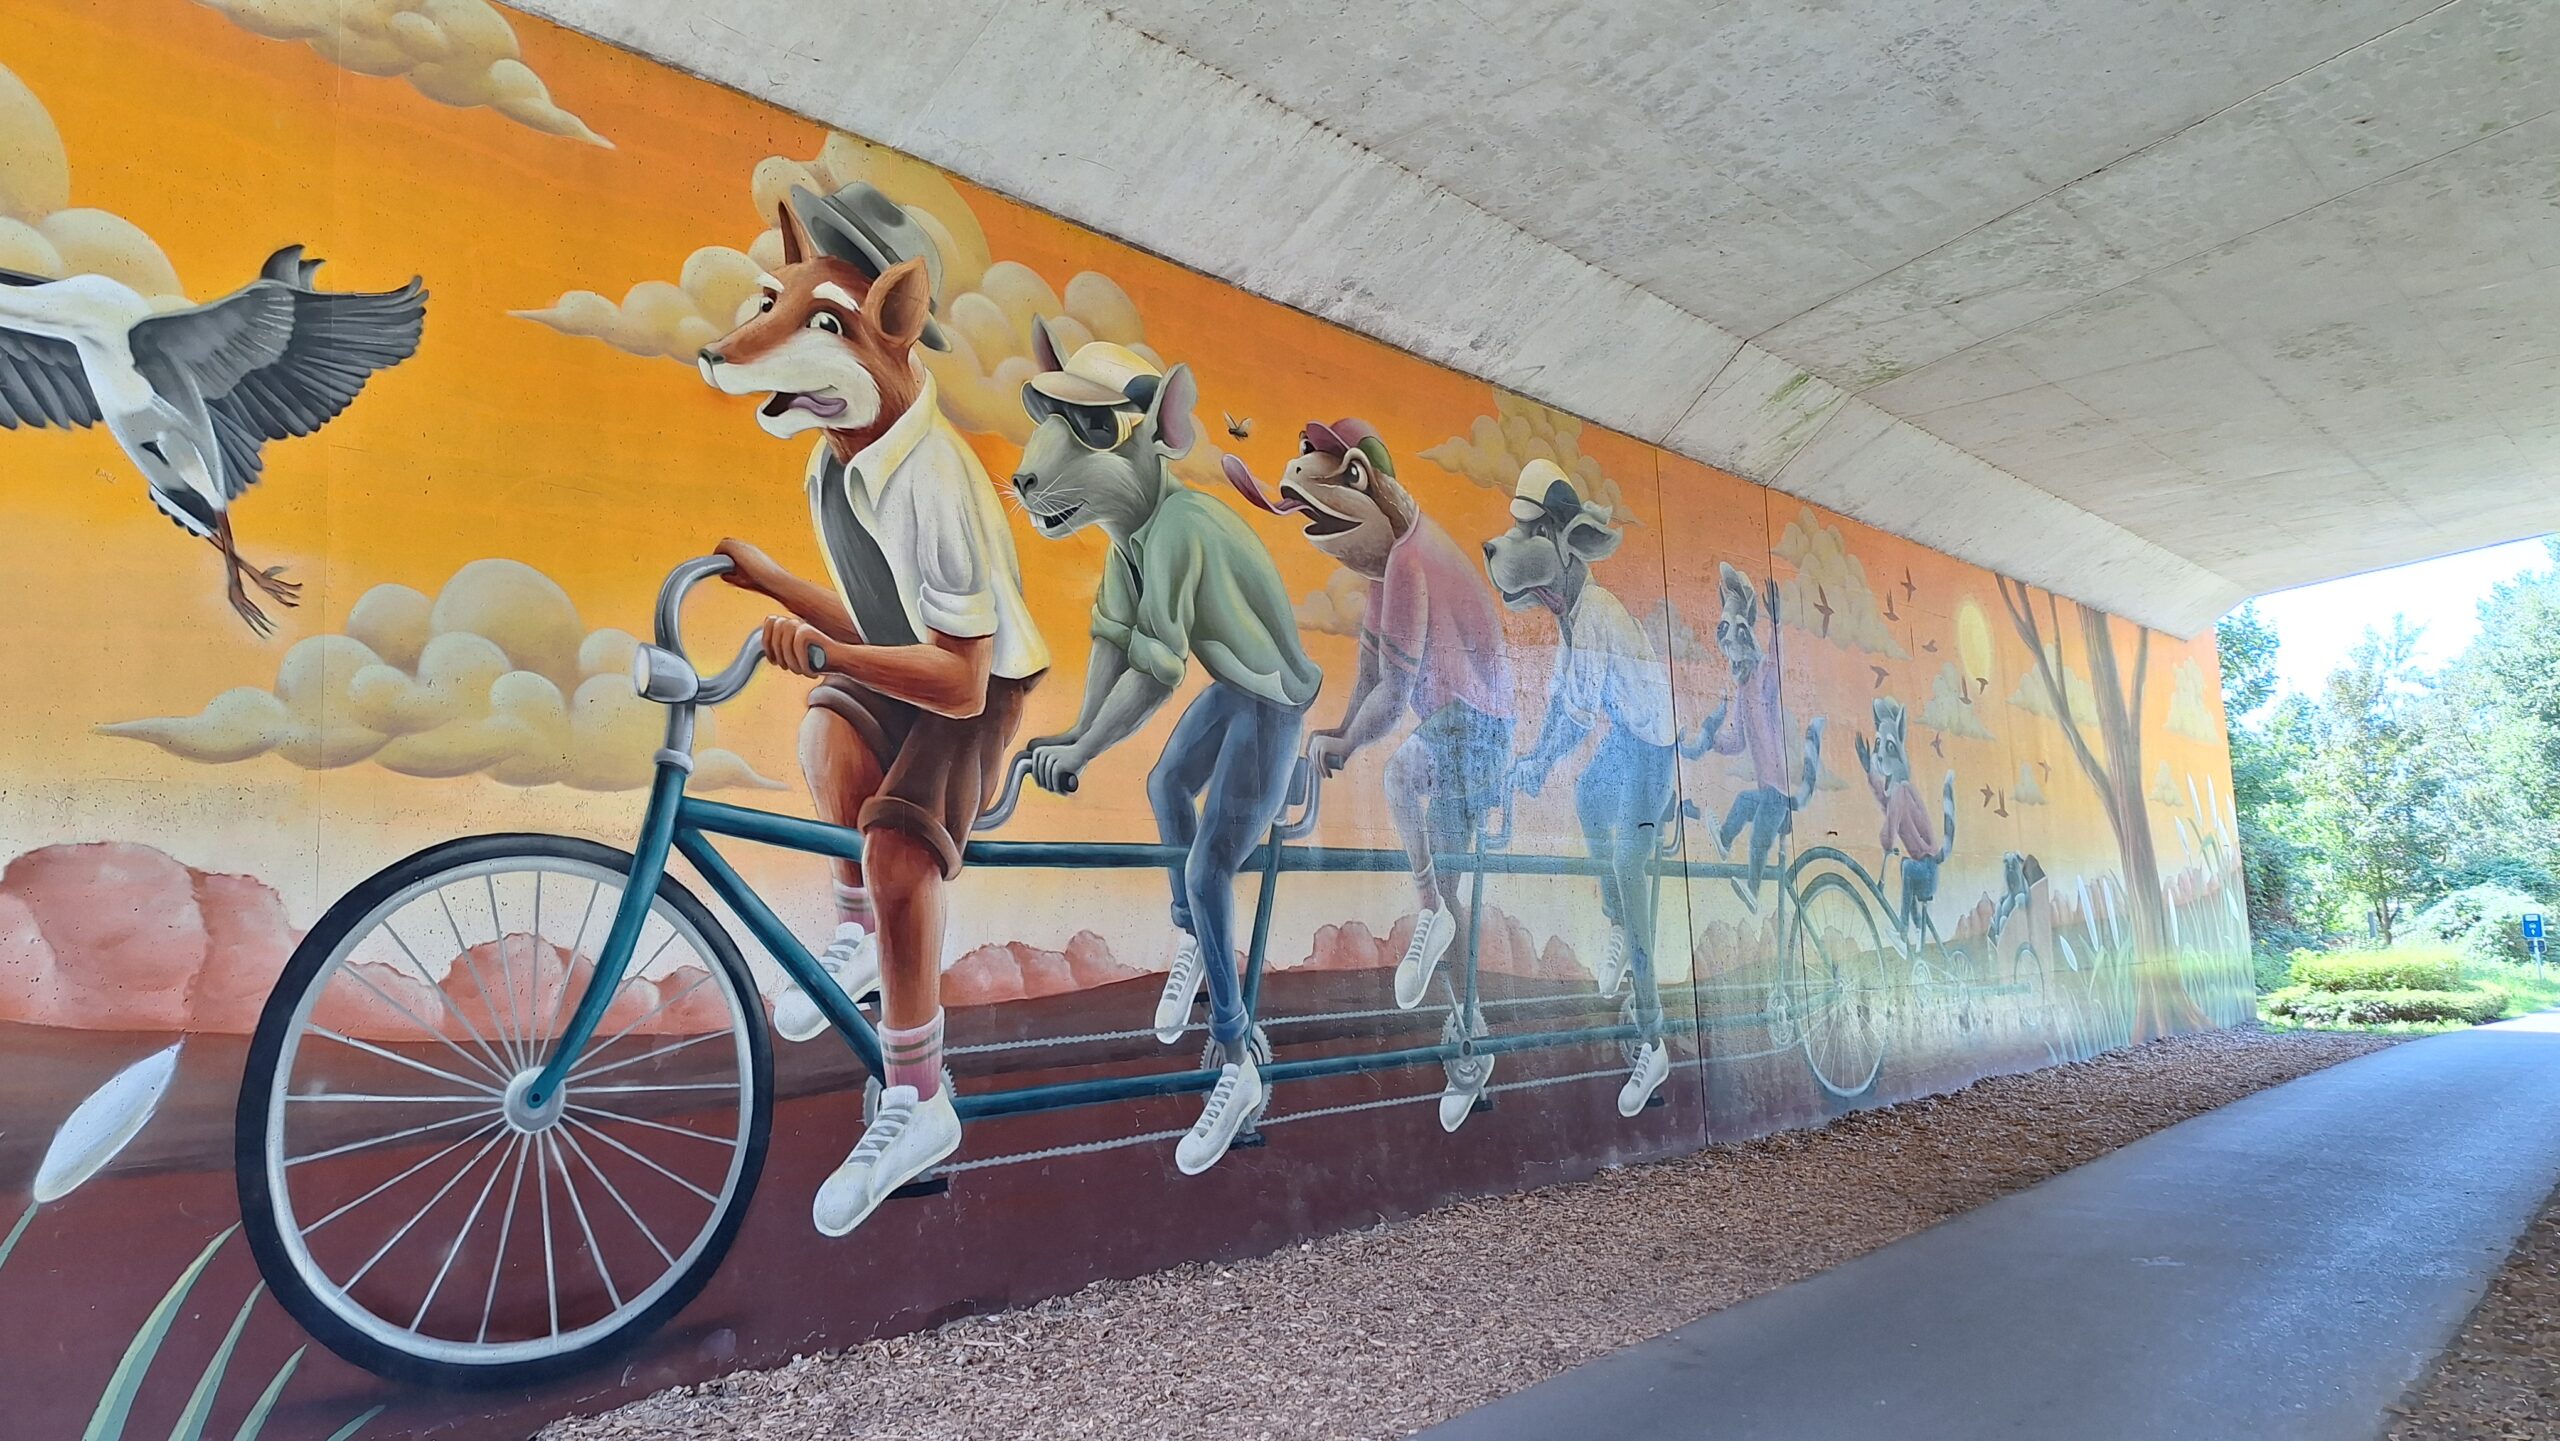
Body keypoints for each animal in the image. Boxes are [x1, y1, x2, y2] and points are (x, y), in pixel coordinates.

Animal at [1012, 319, 1321, 1175]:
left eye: (1094, 426)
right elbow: (1115, 644)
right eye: (1041, 413)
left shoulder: (1178, 555)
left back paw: (1234, 1085)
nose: (1019, 478)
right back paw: (1187, 982)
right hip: (1228, 704)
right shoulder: (1123, 580)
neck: (1146, 515)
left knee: (1211, 864)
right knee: (1169, 788)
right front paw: (1066, 740)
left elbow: (1156, 664)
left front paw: (1071, 758)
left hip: (1266, 734)